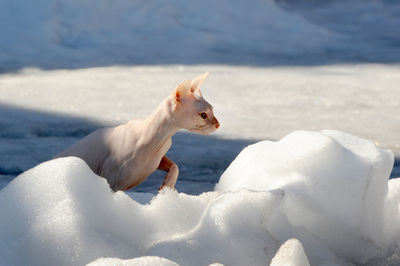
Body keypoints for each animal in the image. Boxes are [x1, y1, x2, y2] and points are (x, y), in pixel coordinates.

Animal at [55, 72, 219, 191]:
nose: (218, 124)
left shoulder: (155, 159)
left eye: (213, 111)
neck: (155, 141)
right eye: (203, 115)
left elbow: (175, 166)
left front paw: (167, 186)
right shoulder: (110, 180)